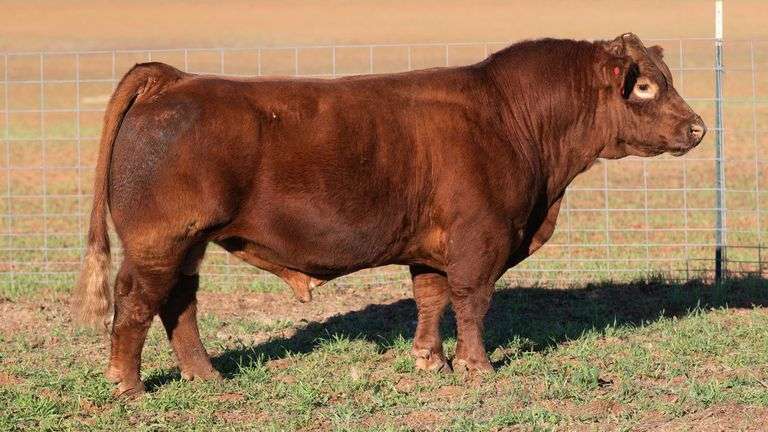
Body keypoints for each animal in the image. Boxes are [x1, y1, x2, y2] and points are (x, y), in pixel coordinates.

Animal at [72, 33, 706, 396]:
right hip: (159, 240)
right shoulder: (480, 239)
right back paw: (128, 387)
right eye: (645, 87)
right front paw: (477, 368)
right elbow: (472, 300)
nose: (697, 128)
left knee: (179, 302)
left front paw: (430, 361)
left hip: (188, 243)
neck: (512, 118)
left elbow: (431, 299)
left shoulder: (432, 248)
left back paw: (206, 375)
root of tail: (175, 80)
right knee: (137, 301)